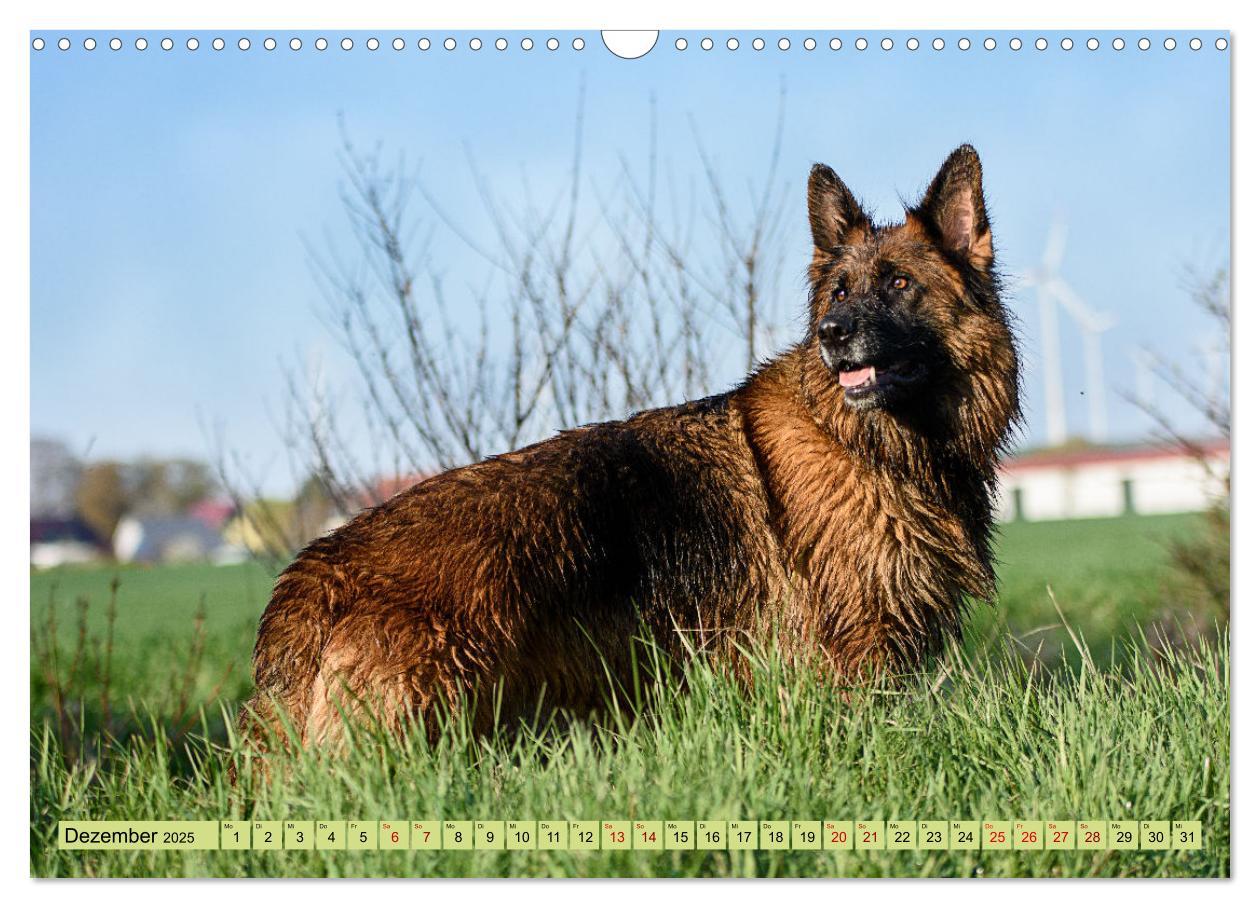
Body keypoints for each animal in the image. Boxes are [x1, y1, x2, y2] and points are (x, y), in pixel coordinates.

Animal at [238, 143, 1023, 750]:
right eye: (836, 293)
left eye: (899, 282)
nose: (832, 336)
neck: (869, 442)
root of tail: (319, 565)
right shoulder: (856, 655)